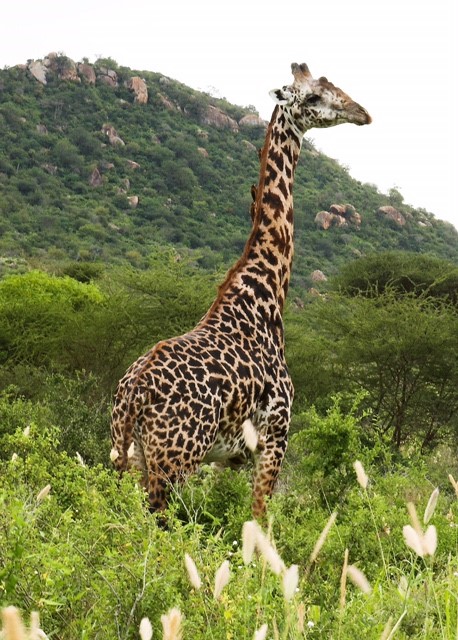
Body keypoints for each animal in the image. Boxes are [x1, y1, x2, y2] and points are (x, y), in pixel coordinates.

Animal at [111, 63, 371, 517]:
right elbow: (259, 516)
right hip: (173, 463)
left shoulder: (227, 456)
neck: (267, 290)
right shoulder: (275, 437)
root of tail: (133, 395)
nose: (362, 113)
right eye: (314, 97)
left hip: (121, 455)